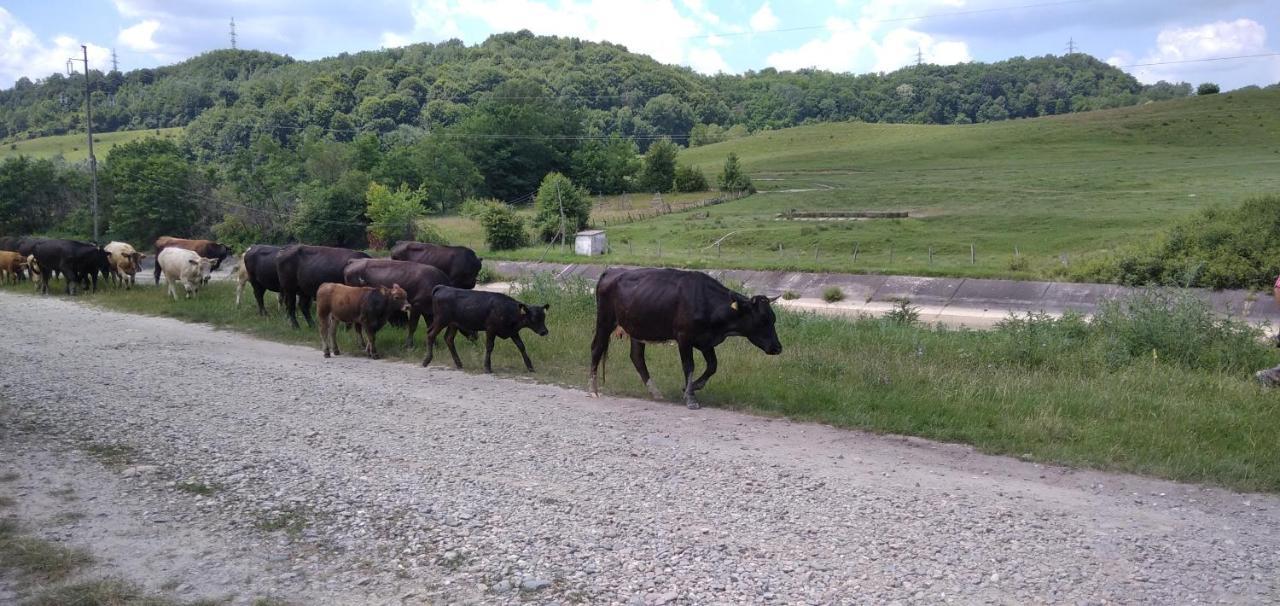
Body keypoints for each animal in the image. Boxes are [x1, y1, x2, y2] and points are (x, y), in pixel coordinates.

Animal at [586, 266, 778, 407]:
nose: (778, 347)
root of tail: (612, 270)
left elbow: (712, 366)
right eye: (763, 320)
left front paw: (693, 386)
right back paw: (593, 389)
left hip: (636, 328)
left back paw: (655, 392)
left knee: (637, 357)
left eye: (774, 318)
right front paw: (690, 397)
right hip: (604, 321)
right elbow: (689, 366)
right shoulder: (684, 338)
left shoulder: (706, 340)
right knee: (596, 348)